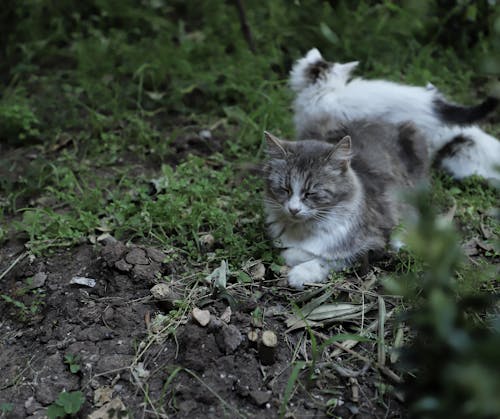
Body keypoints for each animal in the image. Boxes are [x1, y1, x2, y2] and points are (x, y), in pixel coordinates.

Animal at [264, 121, 428, 288]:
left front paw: (300, 272)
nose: (293, 209)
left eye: (310, 193)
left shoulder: (373, 243)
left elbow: (329, 259)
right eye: (285, 189)